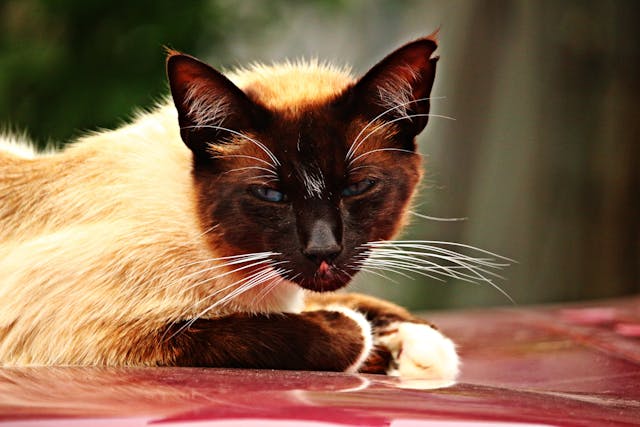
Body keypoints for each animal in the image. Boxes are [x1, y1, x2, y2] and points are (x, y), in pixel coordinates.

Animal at [0, 34, 460, 382]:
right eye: (271, 195)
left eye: (357, 187)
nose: (323, 250)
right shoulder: (97, 337)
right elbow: (290, 330)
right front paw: (369, 340)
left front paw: (417, 343)